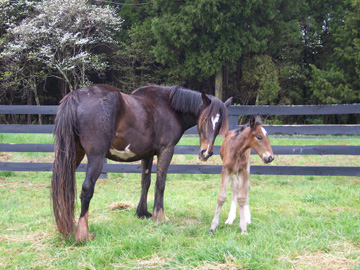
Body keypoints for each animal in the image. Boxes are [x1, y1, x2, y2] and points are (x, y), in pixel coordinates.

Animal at [50, 84, 232, 240]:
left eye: (219, 124)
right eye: (205, 119)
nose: (206, 153)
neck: (168, 107)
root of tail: (76, 96)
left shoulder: (147, 155)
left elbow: (146, 182)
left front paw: (143, 213)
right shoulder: (166, 150)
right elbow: (160, 183)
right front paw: (160, 216)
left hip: (74, 154)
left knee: (65, 185)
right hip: (96, 157)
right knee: (87, 188)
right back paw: (83, 234)